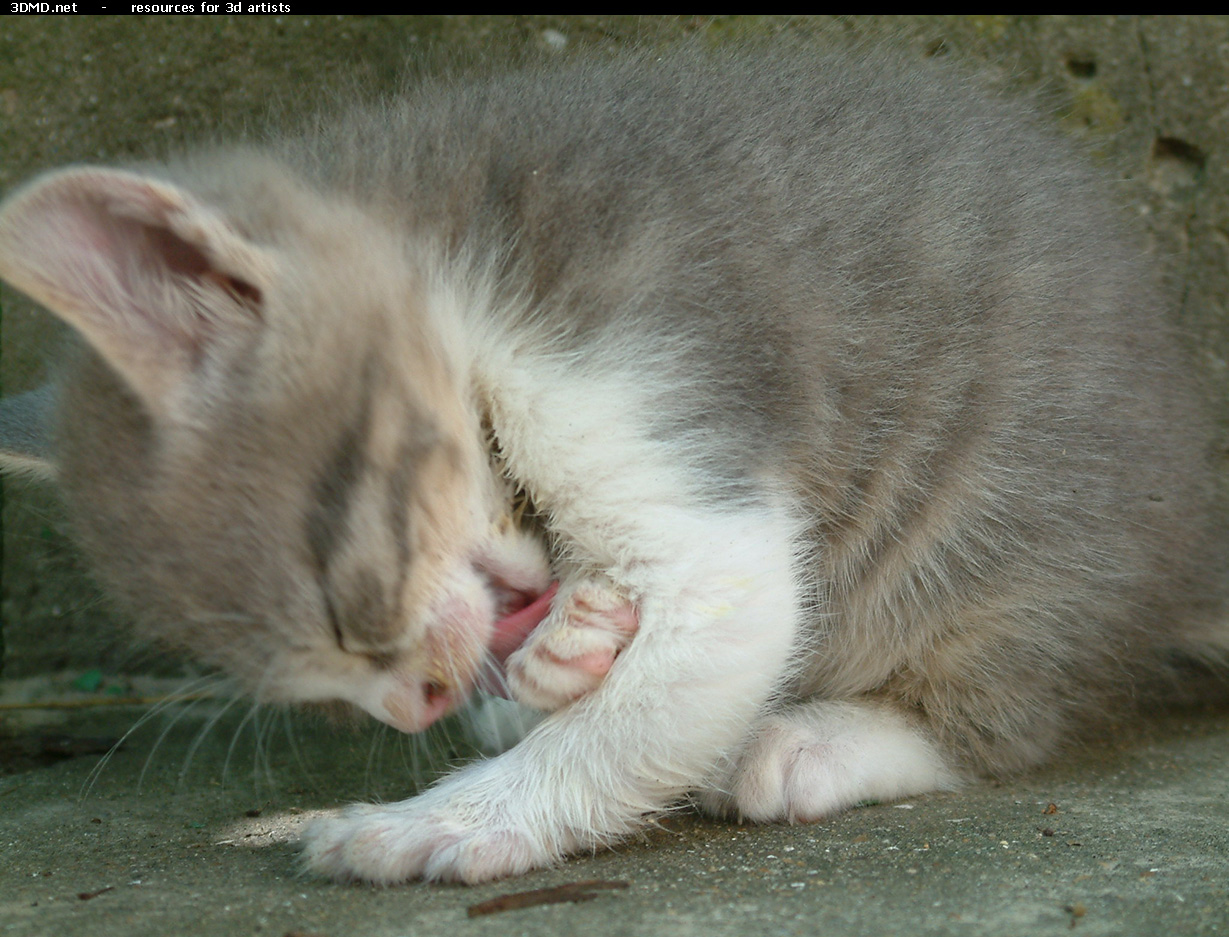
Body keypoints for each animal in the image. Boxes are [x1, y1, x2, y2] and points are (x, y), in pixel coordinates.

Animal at [2, 49, 1229, 885]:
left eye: (354, 604)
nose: (414, 704)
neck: (442, 255)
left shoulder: (633, 376)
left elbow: (704, 639)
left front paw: (443, 820)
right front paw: (549, 667)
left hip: (1009, 534)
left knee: (1001, 710)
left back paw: (814, 739)